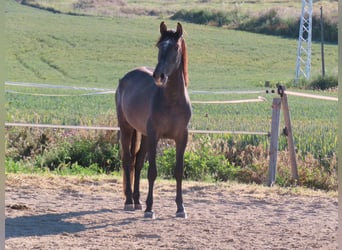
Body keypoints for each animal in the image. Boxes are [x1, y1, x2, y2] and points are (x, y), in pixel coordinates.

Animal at [114, 22, 190, 219]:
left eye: (175, 47)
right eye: (159, 46)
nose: (158, 76)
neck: (172, 100)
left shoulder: (182, 137)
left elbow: (178, 171)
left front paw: (180, 208)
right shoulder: (155, 136)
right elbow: (152, 172)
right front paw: (150, 209)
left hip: (144, 135)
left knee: (138, 161)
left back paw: (137, 201)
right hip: (126, 129)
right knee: (128, 160)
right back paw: (129, 201)